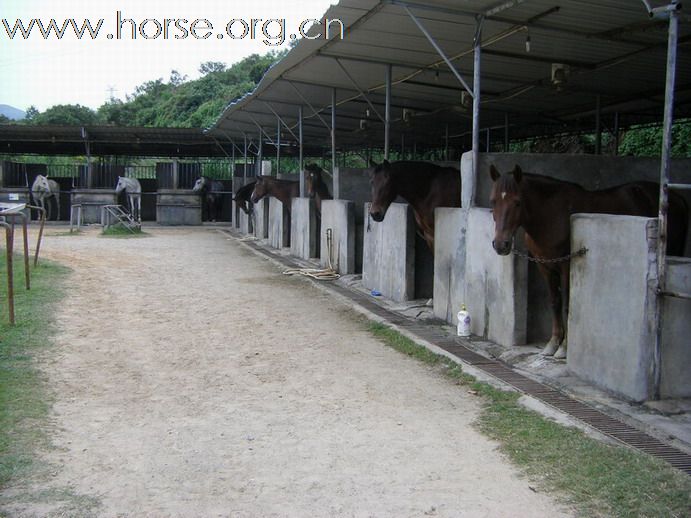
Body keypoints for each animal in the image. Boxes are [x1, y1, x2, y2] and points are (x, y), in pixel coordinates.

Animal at [490, 165, 688, 360]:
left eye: (517, 202)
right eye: (493, 202)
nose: (500, 245)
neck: (552, 215)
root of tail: (677, 198)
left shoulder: (566, 265)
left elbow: (568, 304)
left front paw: (564, 348)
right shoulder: (544, 266)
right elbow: (555, 302)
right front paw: (552, 344)